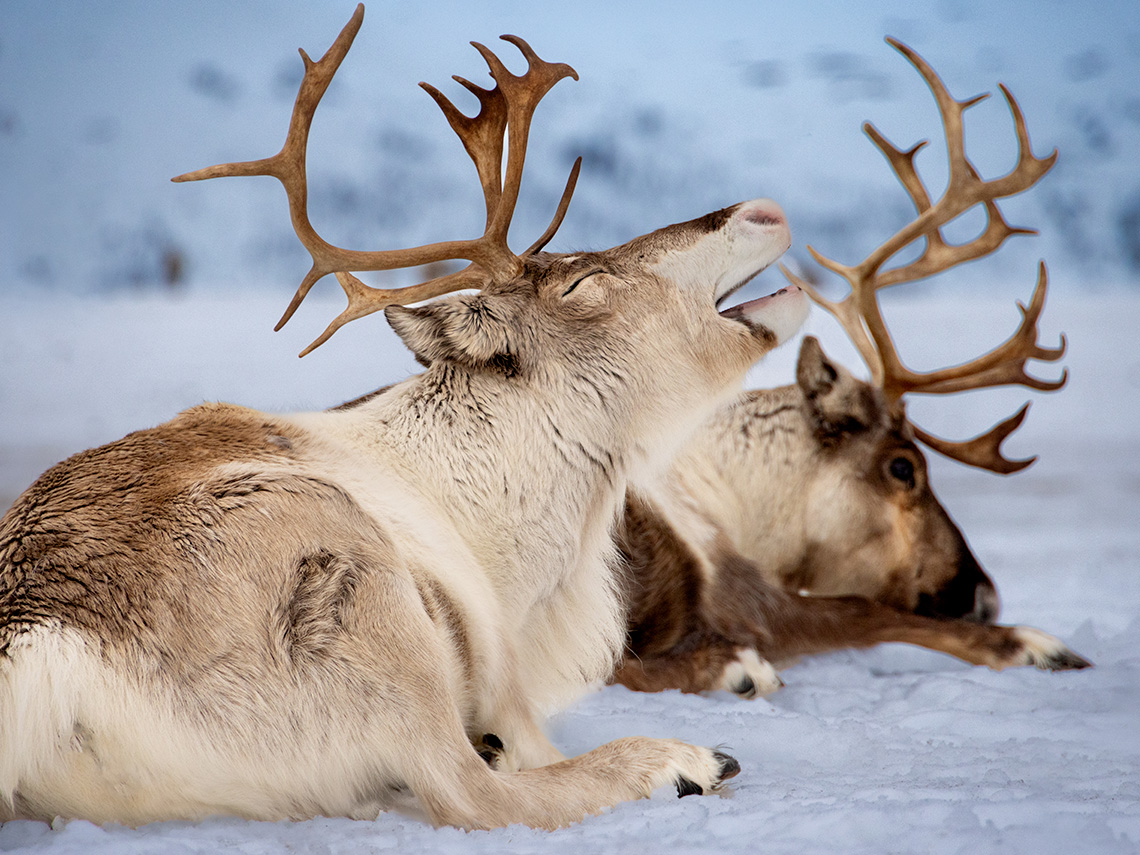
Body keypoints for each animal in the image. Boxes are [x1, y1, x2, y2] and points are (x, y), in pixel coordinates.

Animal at [0, 5, 812, 829]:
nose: (762, 210)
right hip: (351, 565)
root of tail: (37, 649)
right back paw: (680, 761)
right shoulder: (500, 677)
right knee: (474, 792)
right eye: (579, 282)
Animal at [609, 39, 1092, 699]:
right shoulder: (752, 597)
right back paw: (736, 670)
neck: (732, 500)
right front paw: (1036, 644)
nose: (984, 597)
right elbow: (869, 611)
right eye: (903, 467)